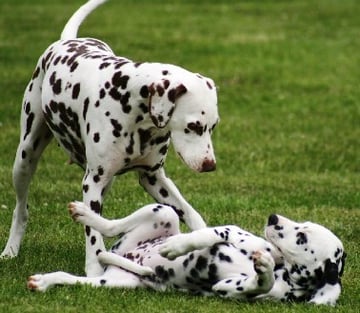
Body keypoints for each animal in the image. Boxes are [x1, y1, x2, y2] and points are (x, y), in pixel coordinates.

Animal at [1, 0, 218, 276]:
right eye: (193, 126)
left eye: (213, 126)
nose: (210, 165)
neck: (129, 101)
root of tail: (66, 40)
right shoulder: (92, 182)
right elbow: (93, 235)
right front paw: (94, 271)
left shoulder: (154, 179)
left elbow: (190, 213)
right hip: (25, 158)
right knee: (21, 209)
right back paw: (11, 250)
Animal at [28, 200, 346, 304]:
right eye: (303, 224)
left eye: (302, 236)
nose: (273, 218)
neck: (285, 272)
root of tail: (129, 258)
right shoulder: (234, 232)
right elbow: (208, 233)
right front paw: (177, 247)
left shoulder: (227, 288)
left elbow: (260, 283)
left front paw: (263, 269)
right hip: (164, 211)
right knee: (110, 226)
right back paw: (85, 214)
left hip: (111, 283)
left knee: (67, 277)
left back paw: (44, 281)